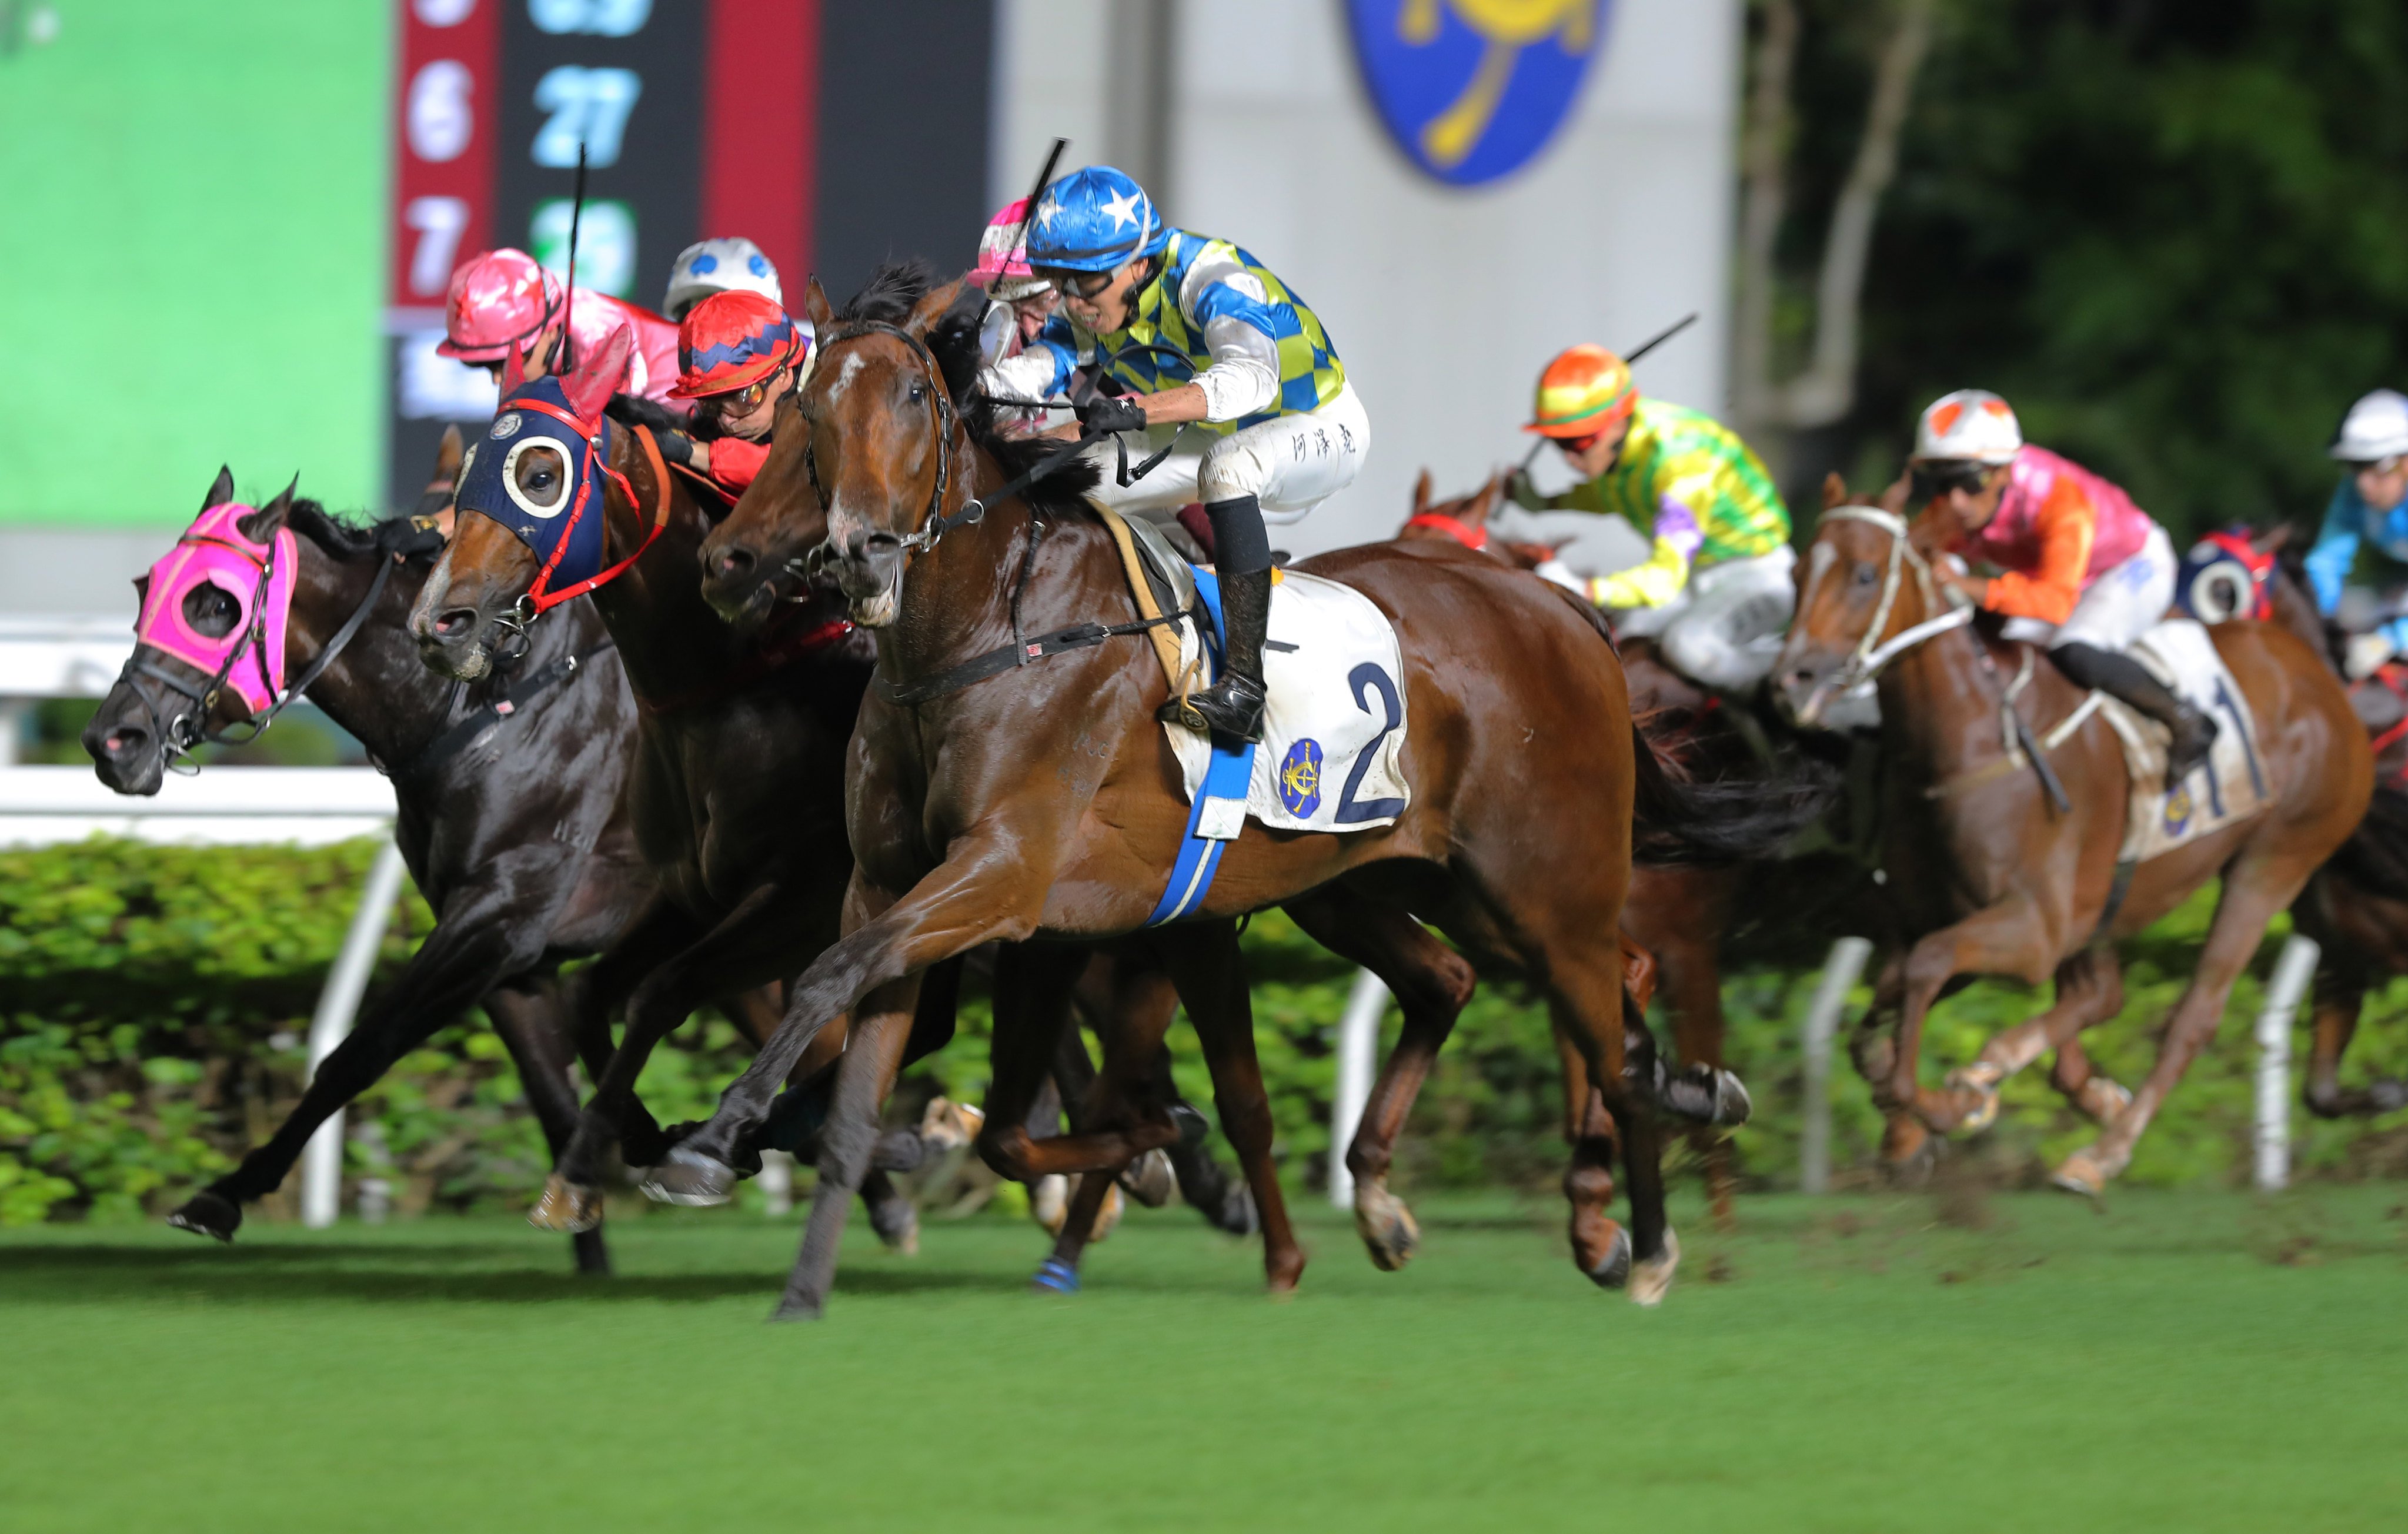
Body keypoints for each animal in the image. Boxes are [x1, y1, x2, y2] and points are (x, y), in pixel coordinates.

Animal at [650, 266, 1801, 1319]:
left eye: (912, 398)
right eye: (804, 411)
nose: (855, 549)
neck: (987, 633)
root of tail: (1563, 611)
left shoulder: (1007, 875)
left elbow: (833, 983)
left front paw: (713, 1136)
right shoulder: (917, 890)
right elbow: (867, 1045)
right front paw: (798, 1274)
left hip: (1543, 887)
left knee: (1608, 1035)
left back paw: (1641, 1236)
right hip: (1386, 880)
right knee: (1472, 985)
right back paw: (1475, 1181)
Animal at [1772, 479, 2369, 1194]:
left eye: (1865, 574)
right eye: (1797, 574)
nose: (1791, 680)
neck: (1972, 735)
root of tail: (2317, 673)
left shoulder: (2035, 926)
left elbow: (1925, 967)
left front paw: (1944, 1104)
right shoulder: (1945, 914)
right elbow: (1884, 999)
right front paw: (1908, 1125)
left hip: (2273, 861)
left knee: (2191, 1017)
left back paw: (2098, 1151)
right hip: (2114, 898)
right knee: (2100, 994)